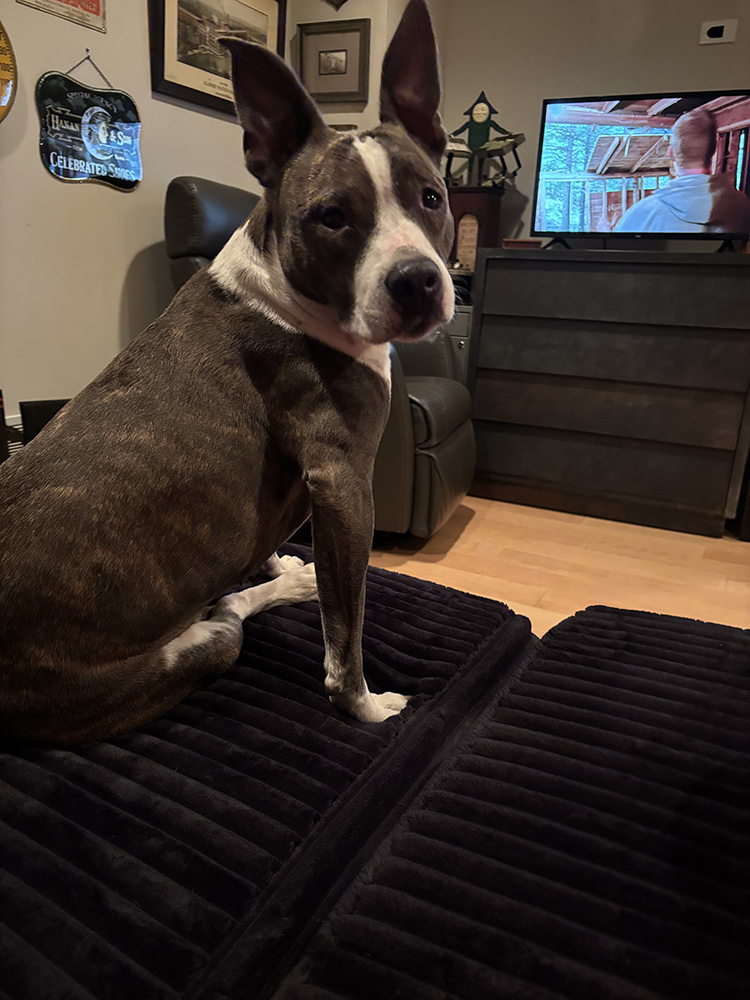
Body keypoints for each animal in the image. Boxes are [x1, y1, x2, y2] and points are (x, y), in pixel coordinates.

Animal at [0, 0, 454, 745]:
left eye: (432, 197)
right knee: (226, 617)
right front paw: (361, 705)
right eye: (332, 217)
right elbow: (346, 626)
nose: (417, 281)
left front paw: (278, 564)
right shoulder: (343, 481)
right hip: (181, 655)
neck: (283, 291)